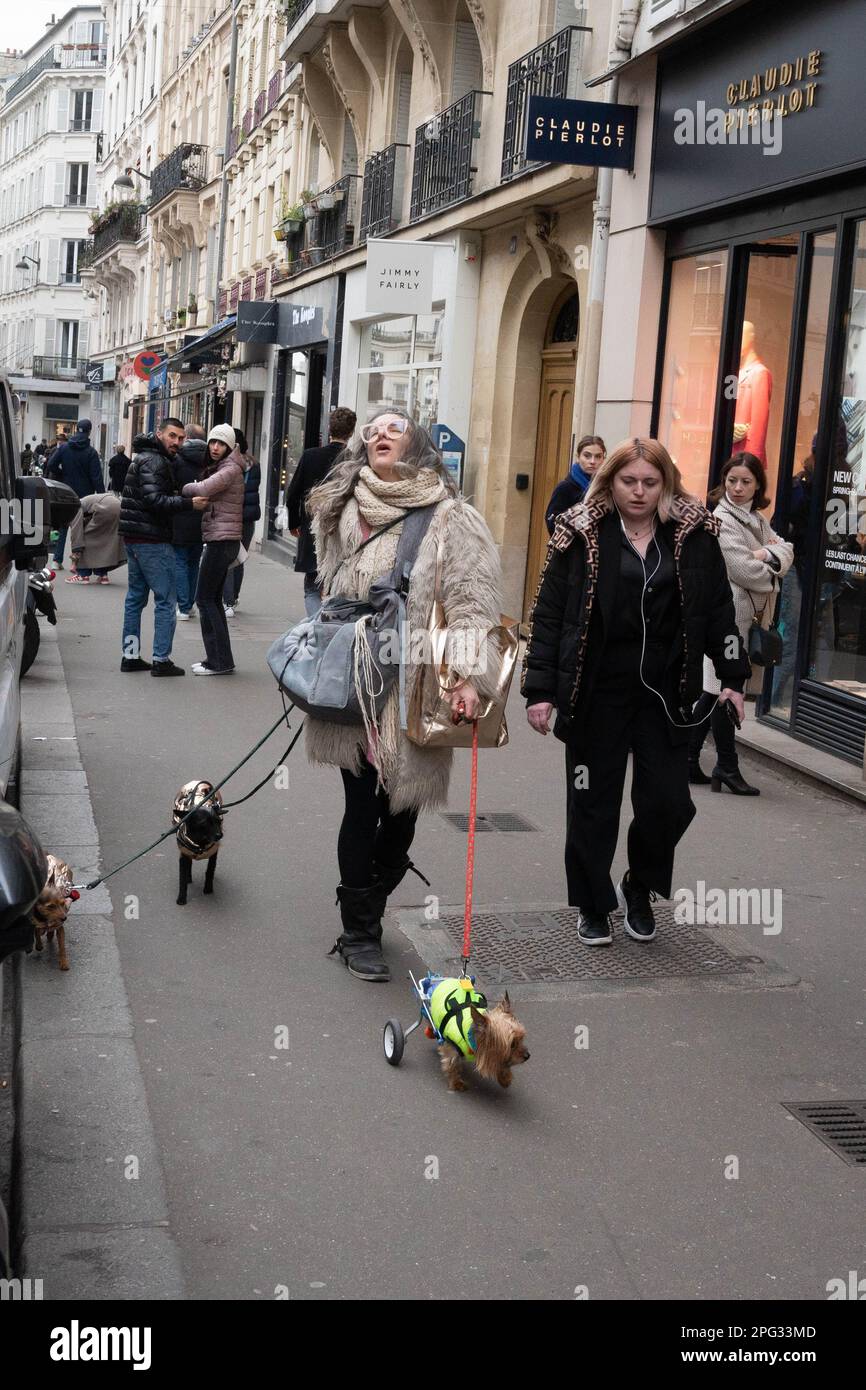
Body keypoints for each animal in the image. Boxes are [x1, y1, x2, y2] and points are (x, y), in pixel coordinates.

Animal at [171, 778, 223, 906]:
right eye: (204, 823)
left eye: (218, 821)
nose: (220, 835)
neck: (200, 842)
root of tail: (197, 781)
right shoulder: (183, 855)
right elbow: (182, 877)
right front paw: (181, 898)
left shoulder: (213, 854)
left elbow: (210, 871)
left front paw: (208, 889)